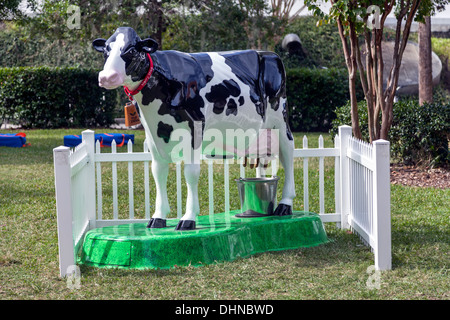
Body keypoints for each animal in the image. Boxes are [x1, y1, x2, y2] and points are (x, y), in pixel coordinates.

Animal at [92, 26, 296, 229]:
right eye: (106, 51)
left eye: (132, 50)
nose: (106, 77)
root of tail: (267, 53)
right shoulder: (152, 133)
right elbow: (158, 172)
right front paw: (158, 217)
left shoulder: (195, 128)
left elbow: (190, 173)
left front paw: (188, 218)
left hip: (280, 117)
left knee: (288, 154)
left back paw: (285, 205)